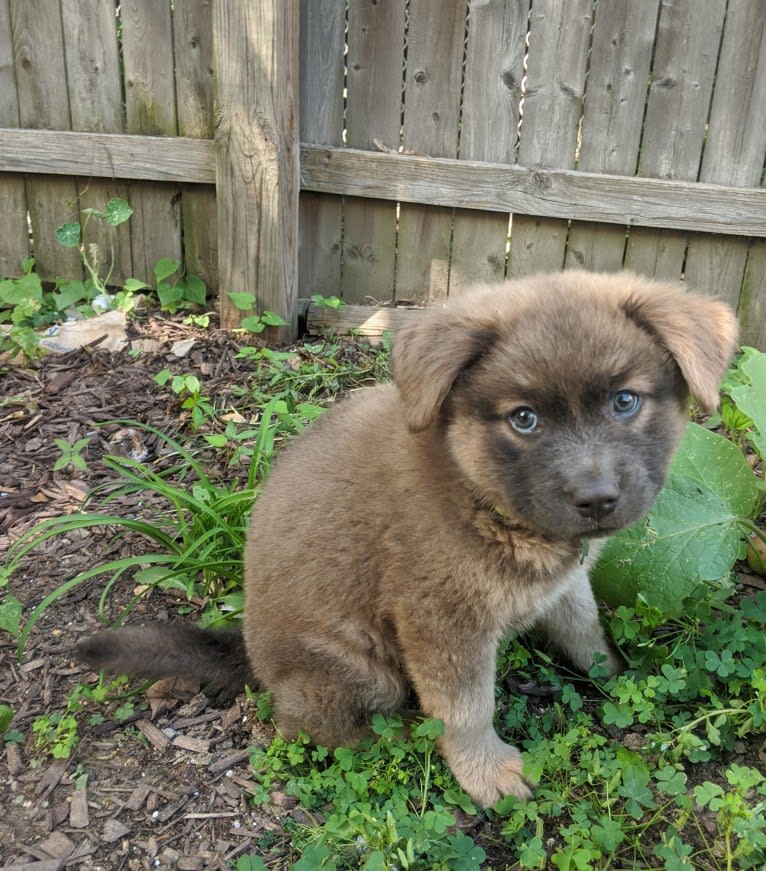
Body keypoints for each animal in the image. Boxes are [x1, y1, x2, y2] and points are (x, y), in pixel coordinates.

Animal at [78, 272, 736, 812]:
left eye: (625, 401)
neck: (479, 494)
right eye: (524, 418)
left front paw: (620, 674)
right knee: (313, 727)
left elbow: (586, 631)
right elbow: (467, 710)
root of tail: (251, 656)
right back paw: (396, 735)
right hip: (358, 669)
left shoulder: (566, 584)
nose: (596, 499)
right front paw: (486, 773)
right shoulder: (440, 625)